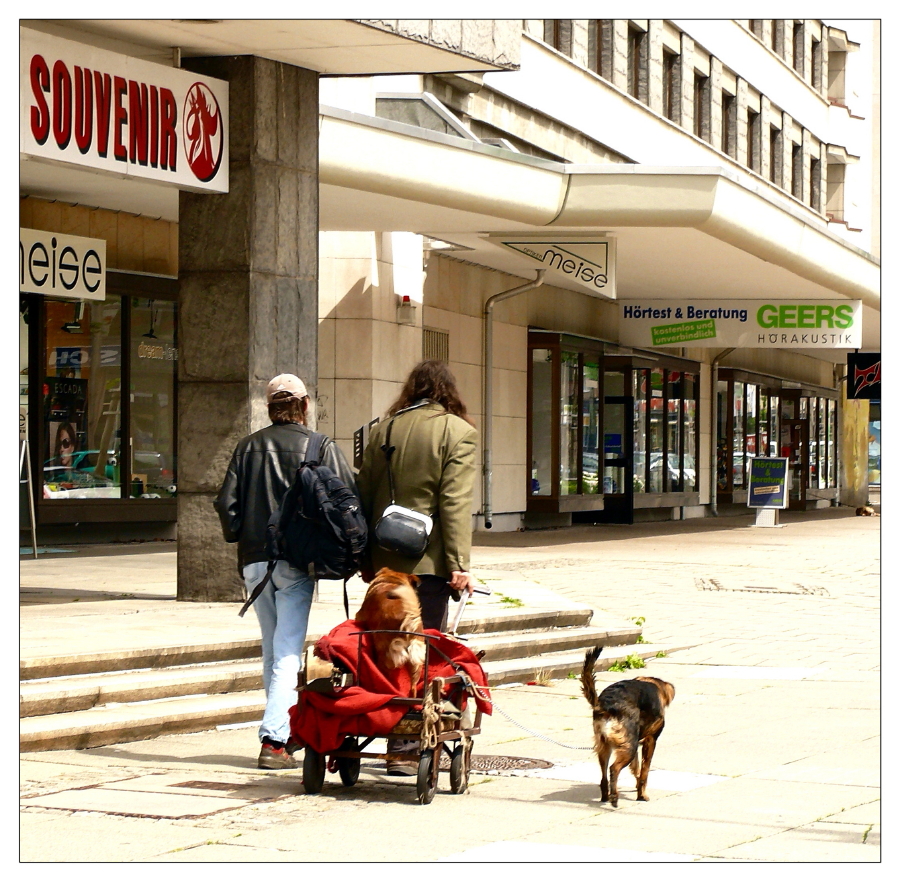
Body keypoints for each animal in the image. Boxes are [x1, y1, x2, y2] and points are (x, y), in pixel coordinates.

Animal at [584, 644, 676, 808]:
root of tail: (605, 704)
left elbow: (637, 768)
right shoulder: (650, 741)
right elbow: (644, 772)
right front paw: (642, 795)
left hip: (605, 746)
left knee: (604, 777)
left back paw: (606, 797)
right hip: (629, 747)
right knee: (613, 769)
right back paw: (614, 798)